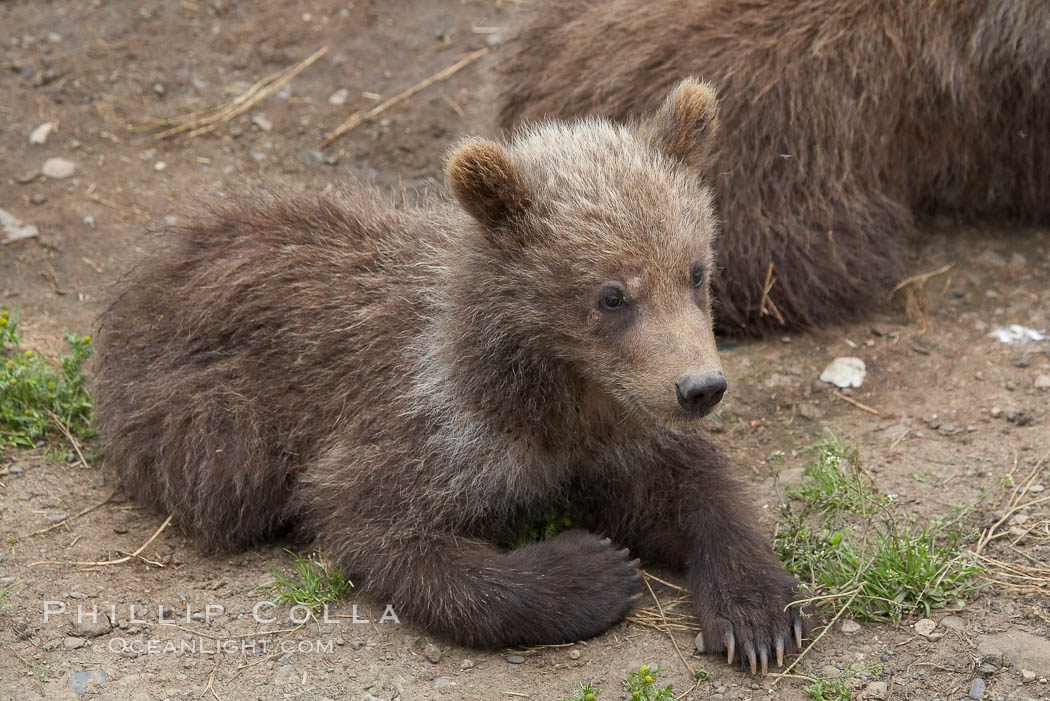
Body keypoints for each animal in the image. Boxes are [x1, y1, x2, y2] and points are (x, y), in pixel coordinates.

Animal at [94, 79, 804, 674]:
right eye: (612, 295)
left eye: (694, 270)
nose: (700, 387)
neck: (553, 391)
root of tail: (157, 260)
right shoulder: (427, 422)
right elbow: (380, 527)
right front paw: (591, 569)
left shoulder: (618, 428)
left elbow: (696, 490)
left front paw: (759, 615)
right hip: (211, 408)